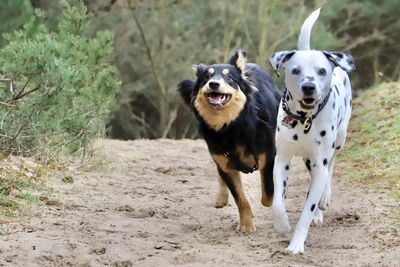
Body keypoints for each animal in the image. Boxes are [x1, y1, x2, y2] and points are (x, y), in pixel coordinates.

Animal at [179, 50, 282, 232]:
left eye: (229, 78)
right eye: (207, 77)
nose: (213, 84)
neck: (231, 126)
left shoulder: (268, 157)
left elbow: (268, 194)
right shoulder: (225, 162)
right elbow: (240, 199)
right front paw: (246, 225)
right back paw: (221, 197)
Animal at [268, 8, 354, 254]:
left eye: (322, 71)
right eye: (295, 70)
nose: (309, 86)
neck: (303, 121)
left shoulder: (320, 163)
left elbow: (307, 210)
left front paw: (296, 244)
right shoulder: (282, 160)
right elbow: (277, 202)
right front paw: (282, 225)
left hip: (338, 142)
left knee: (330, 168)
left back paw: (323, 199)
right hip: (307, 161)